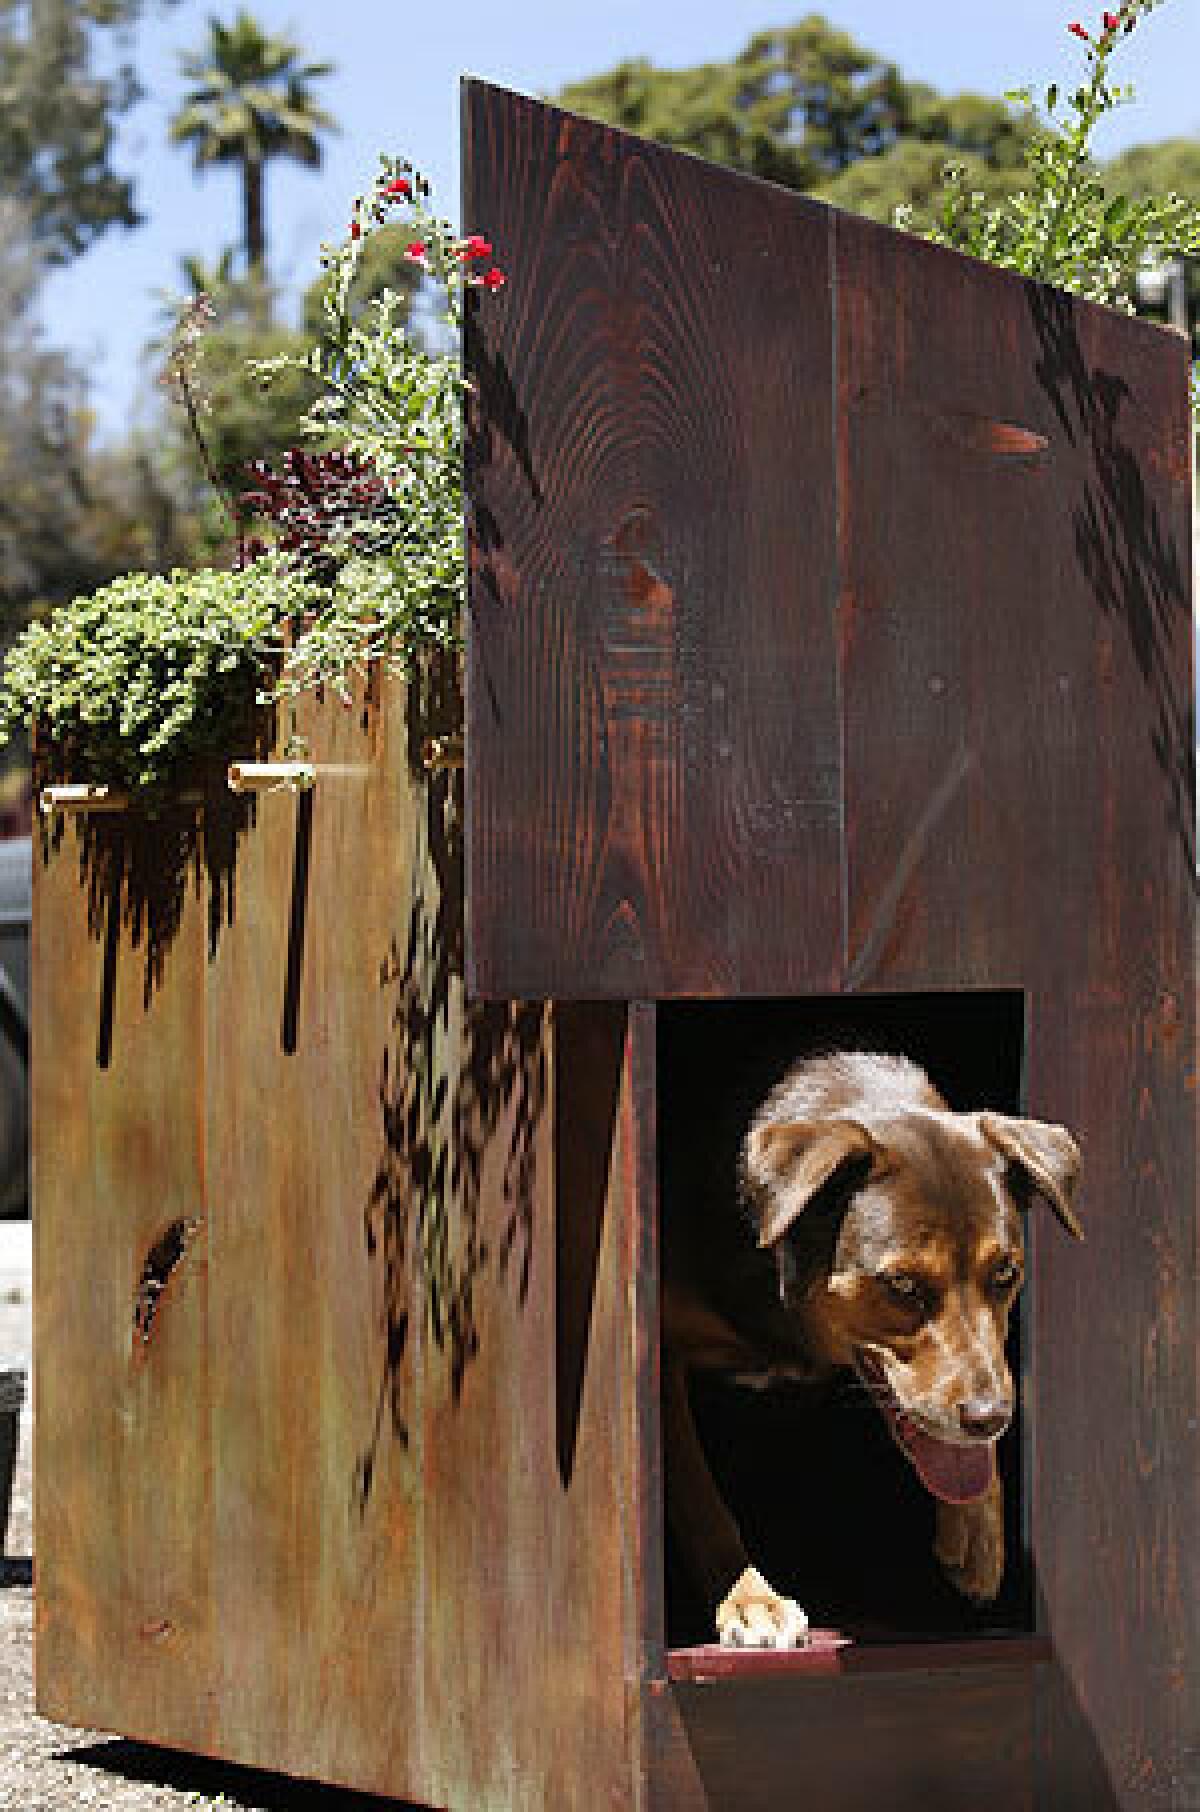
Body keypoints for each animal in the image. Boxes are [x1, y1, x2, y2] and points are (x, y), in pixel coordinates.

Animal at [663, 1043, 1087, 1652]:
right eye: (902, 1284)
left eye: (1005, 1273)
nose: (991, 1418)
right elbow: (701, 1500)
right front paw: (748, 1597)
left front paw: (977, 1527)